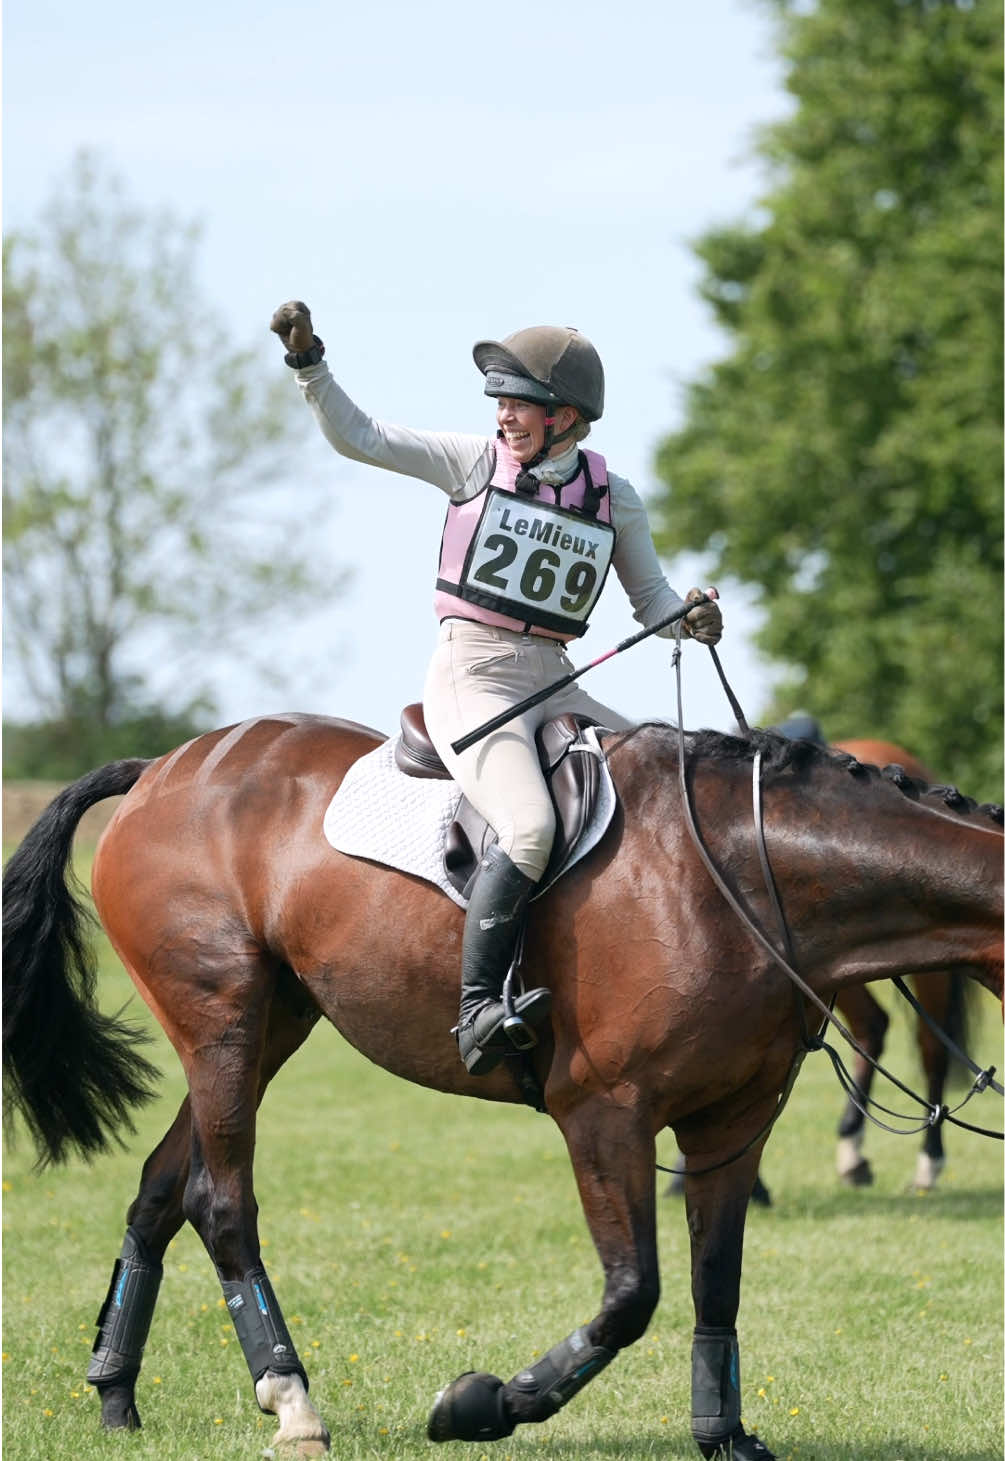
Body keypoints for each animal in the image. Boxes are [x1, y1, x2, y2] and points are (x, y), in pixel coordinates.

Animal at [3, 714, 1002, 1460]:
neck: (745, 874)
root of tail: (158, 770)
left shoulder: (732, 1126)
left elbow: (715, 1284)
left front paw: (723, 1434)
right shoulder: (605, 1115)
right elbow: (631, 1294)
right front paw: (483, 1403)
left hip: (274, 1024)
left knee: (159, 1189)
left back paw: (115, 1392)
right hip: (223, 1022)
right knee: (220, 1201)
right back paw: (291, 1400)